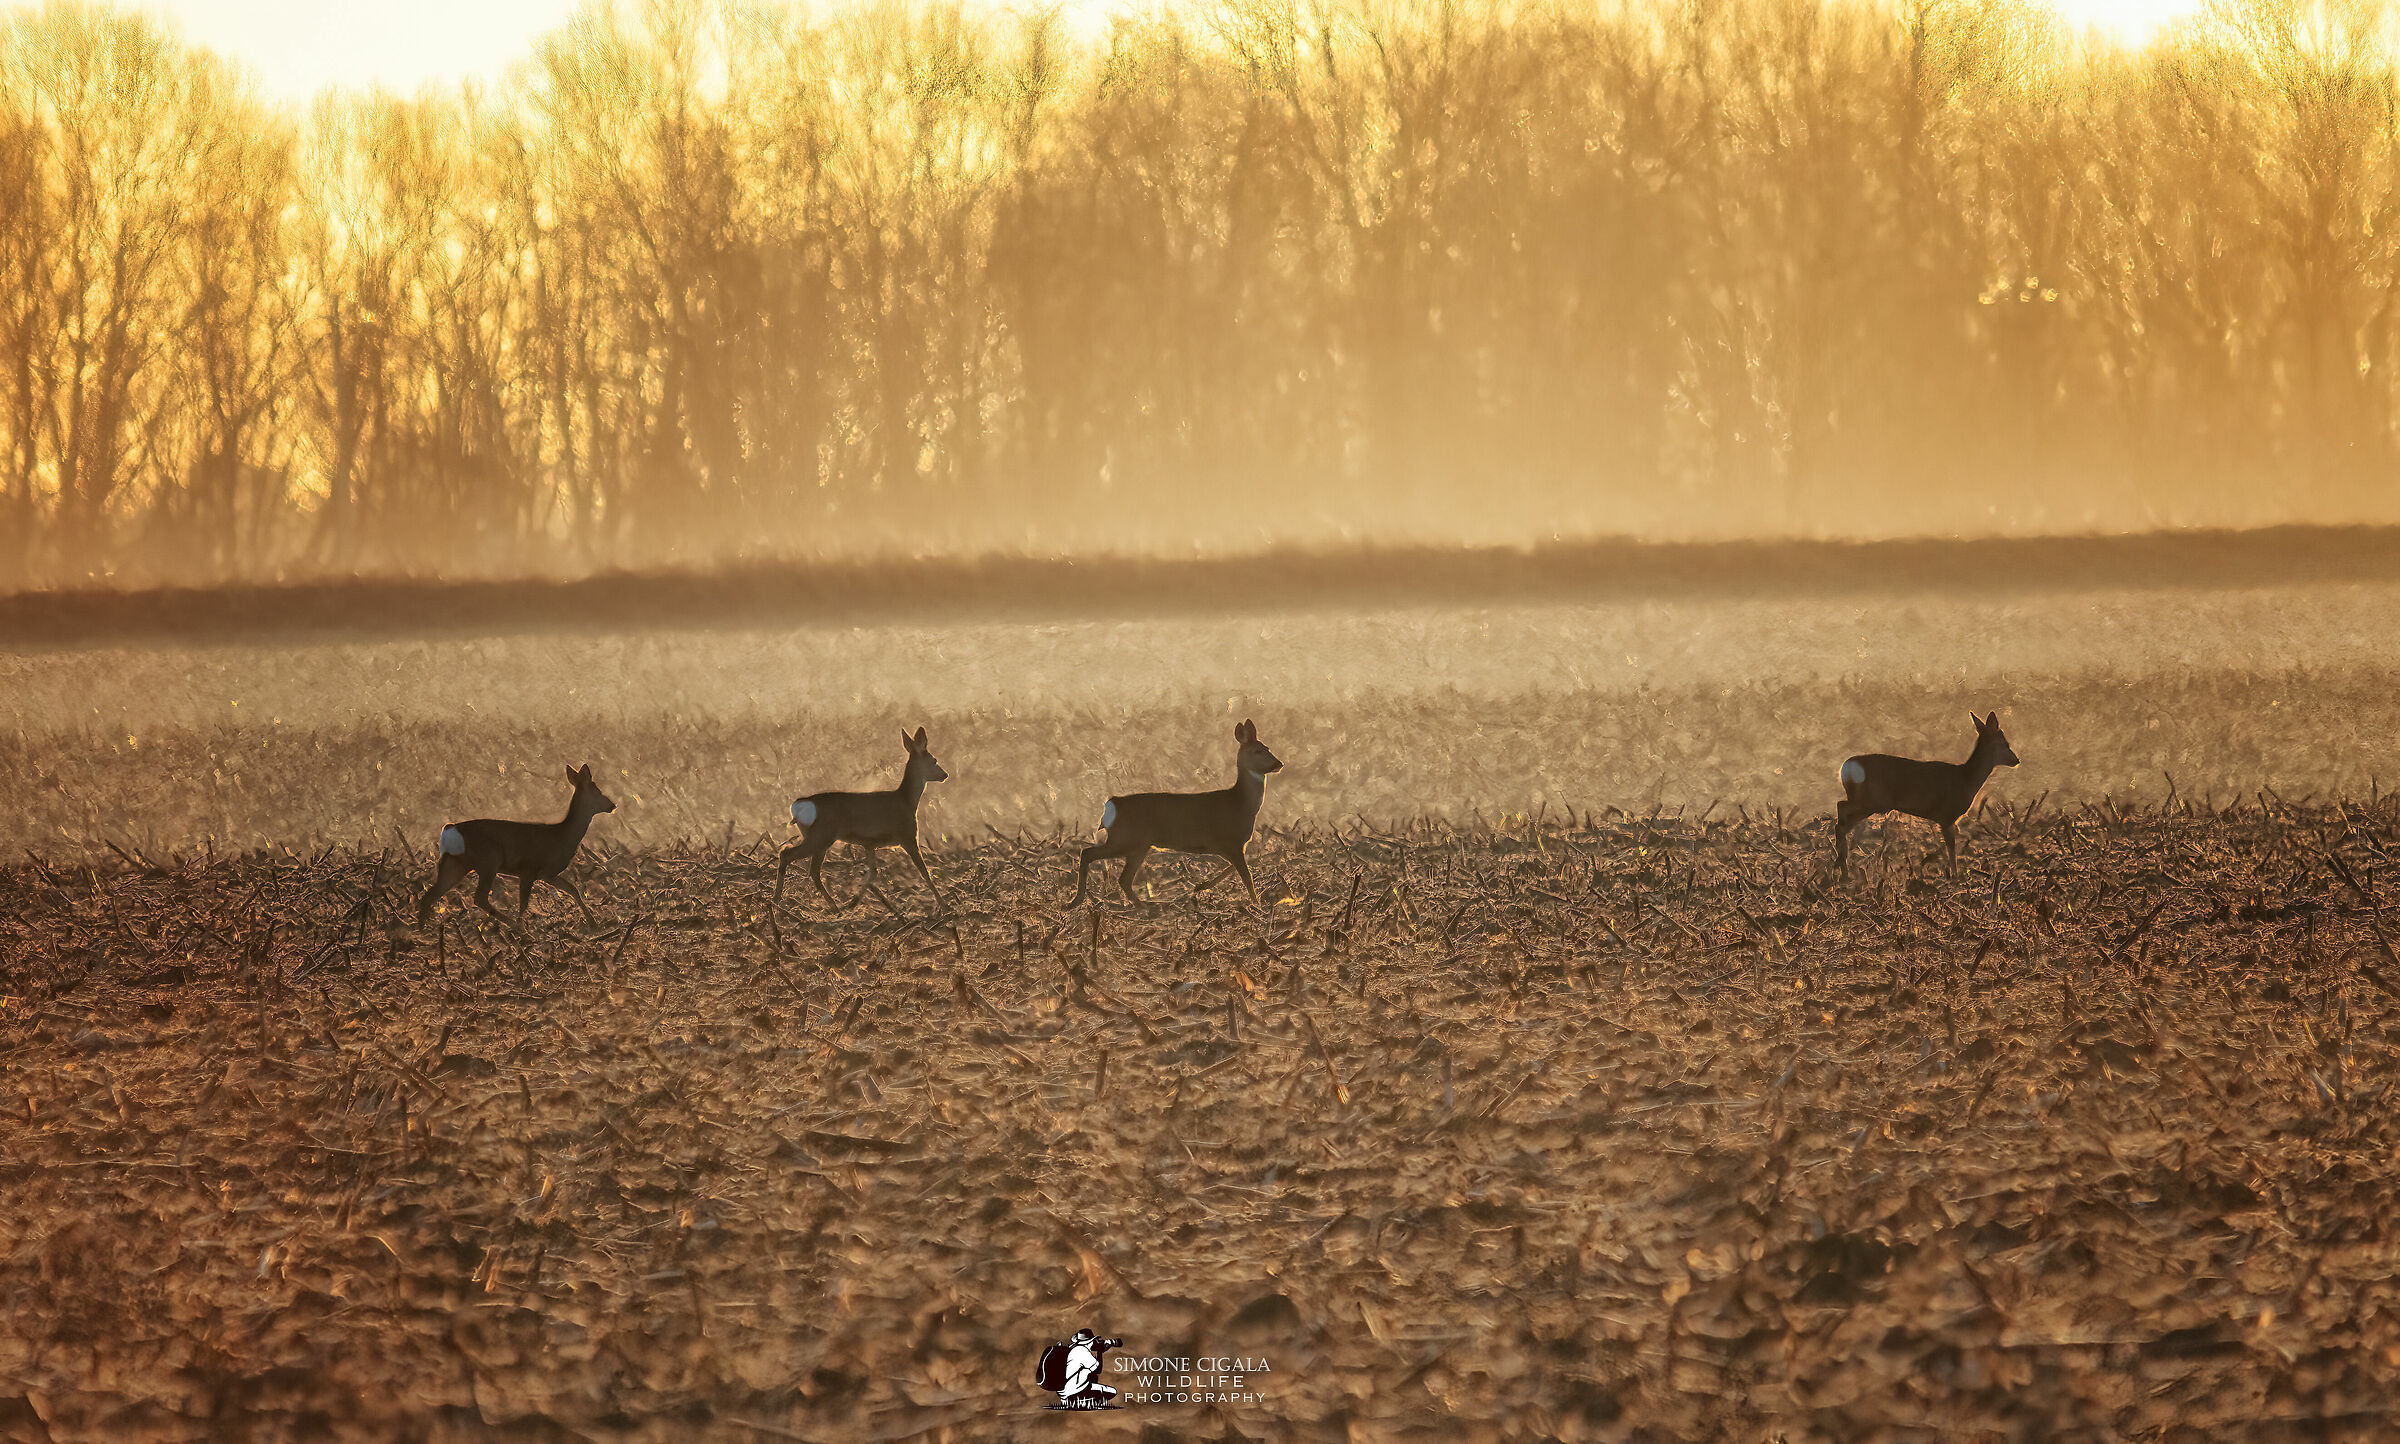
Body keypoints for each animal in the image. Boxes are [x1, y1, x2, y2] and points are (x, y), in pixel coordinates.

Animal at [416, 763, 617, 930]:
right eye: (597, 791)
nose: (612, 805)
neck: (561, 836)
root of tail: (449, 829)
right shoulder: (529, 867)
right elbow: (524, 902)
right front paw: (522, 926)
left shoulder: (547, 874)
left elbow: (572, 889)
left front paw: (594, 924)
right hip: (489, 859)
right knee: (479, 898)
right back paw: (512, 925)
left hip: (455, 863)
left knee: (429, 897)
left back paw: (421, 932)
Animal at [775, 726, 949, 913]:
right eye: (934, 760)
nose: (945, 774)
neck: (907, 800)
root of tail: (797, 806)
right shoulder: (907, 836)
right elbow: (924, 872)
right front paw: (945, 905)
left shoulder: (869, 843)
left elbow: (872, 873)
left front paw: (854, 902)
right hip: (820, 836)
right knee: (786, 854)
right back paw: (777, 900)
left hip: (820, 838)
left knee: (813, 870)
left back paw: (833, 906)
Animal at [1073, 718, 1283, 906]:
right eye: (1257, 751)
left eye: (1268, 748)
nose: (1278, 764)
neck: (1240, 803)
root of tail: (1111, 804)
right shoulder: (1229, 841)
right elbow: (1247, 876)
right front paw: (1257, 906)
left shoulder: (1234, 846)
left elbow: (1234, 869)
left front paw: (1201, 886)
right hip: (1126, 838)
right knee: (1088, 853)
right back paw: (1077, 901)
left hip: (1138, 845)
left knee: (1123, 878)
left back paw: (1143, 906)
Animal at [1834, 711, 2020, 874]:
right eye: (2005, 744)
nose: (2016, 760)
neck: (1965, 779)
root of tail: (1845, 768)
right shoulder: (1946, 815)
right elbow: (1951, 848)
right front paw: (1955, 878)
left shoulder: (1947, 819)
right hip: (1872, 800)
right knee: (1841, 808)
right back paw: (1842, 866)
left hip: (1869, 802)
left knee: (1843, 820)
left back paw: (1842, 868)